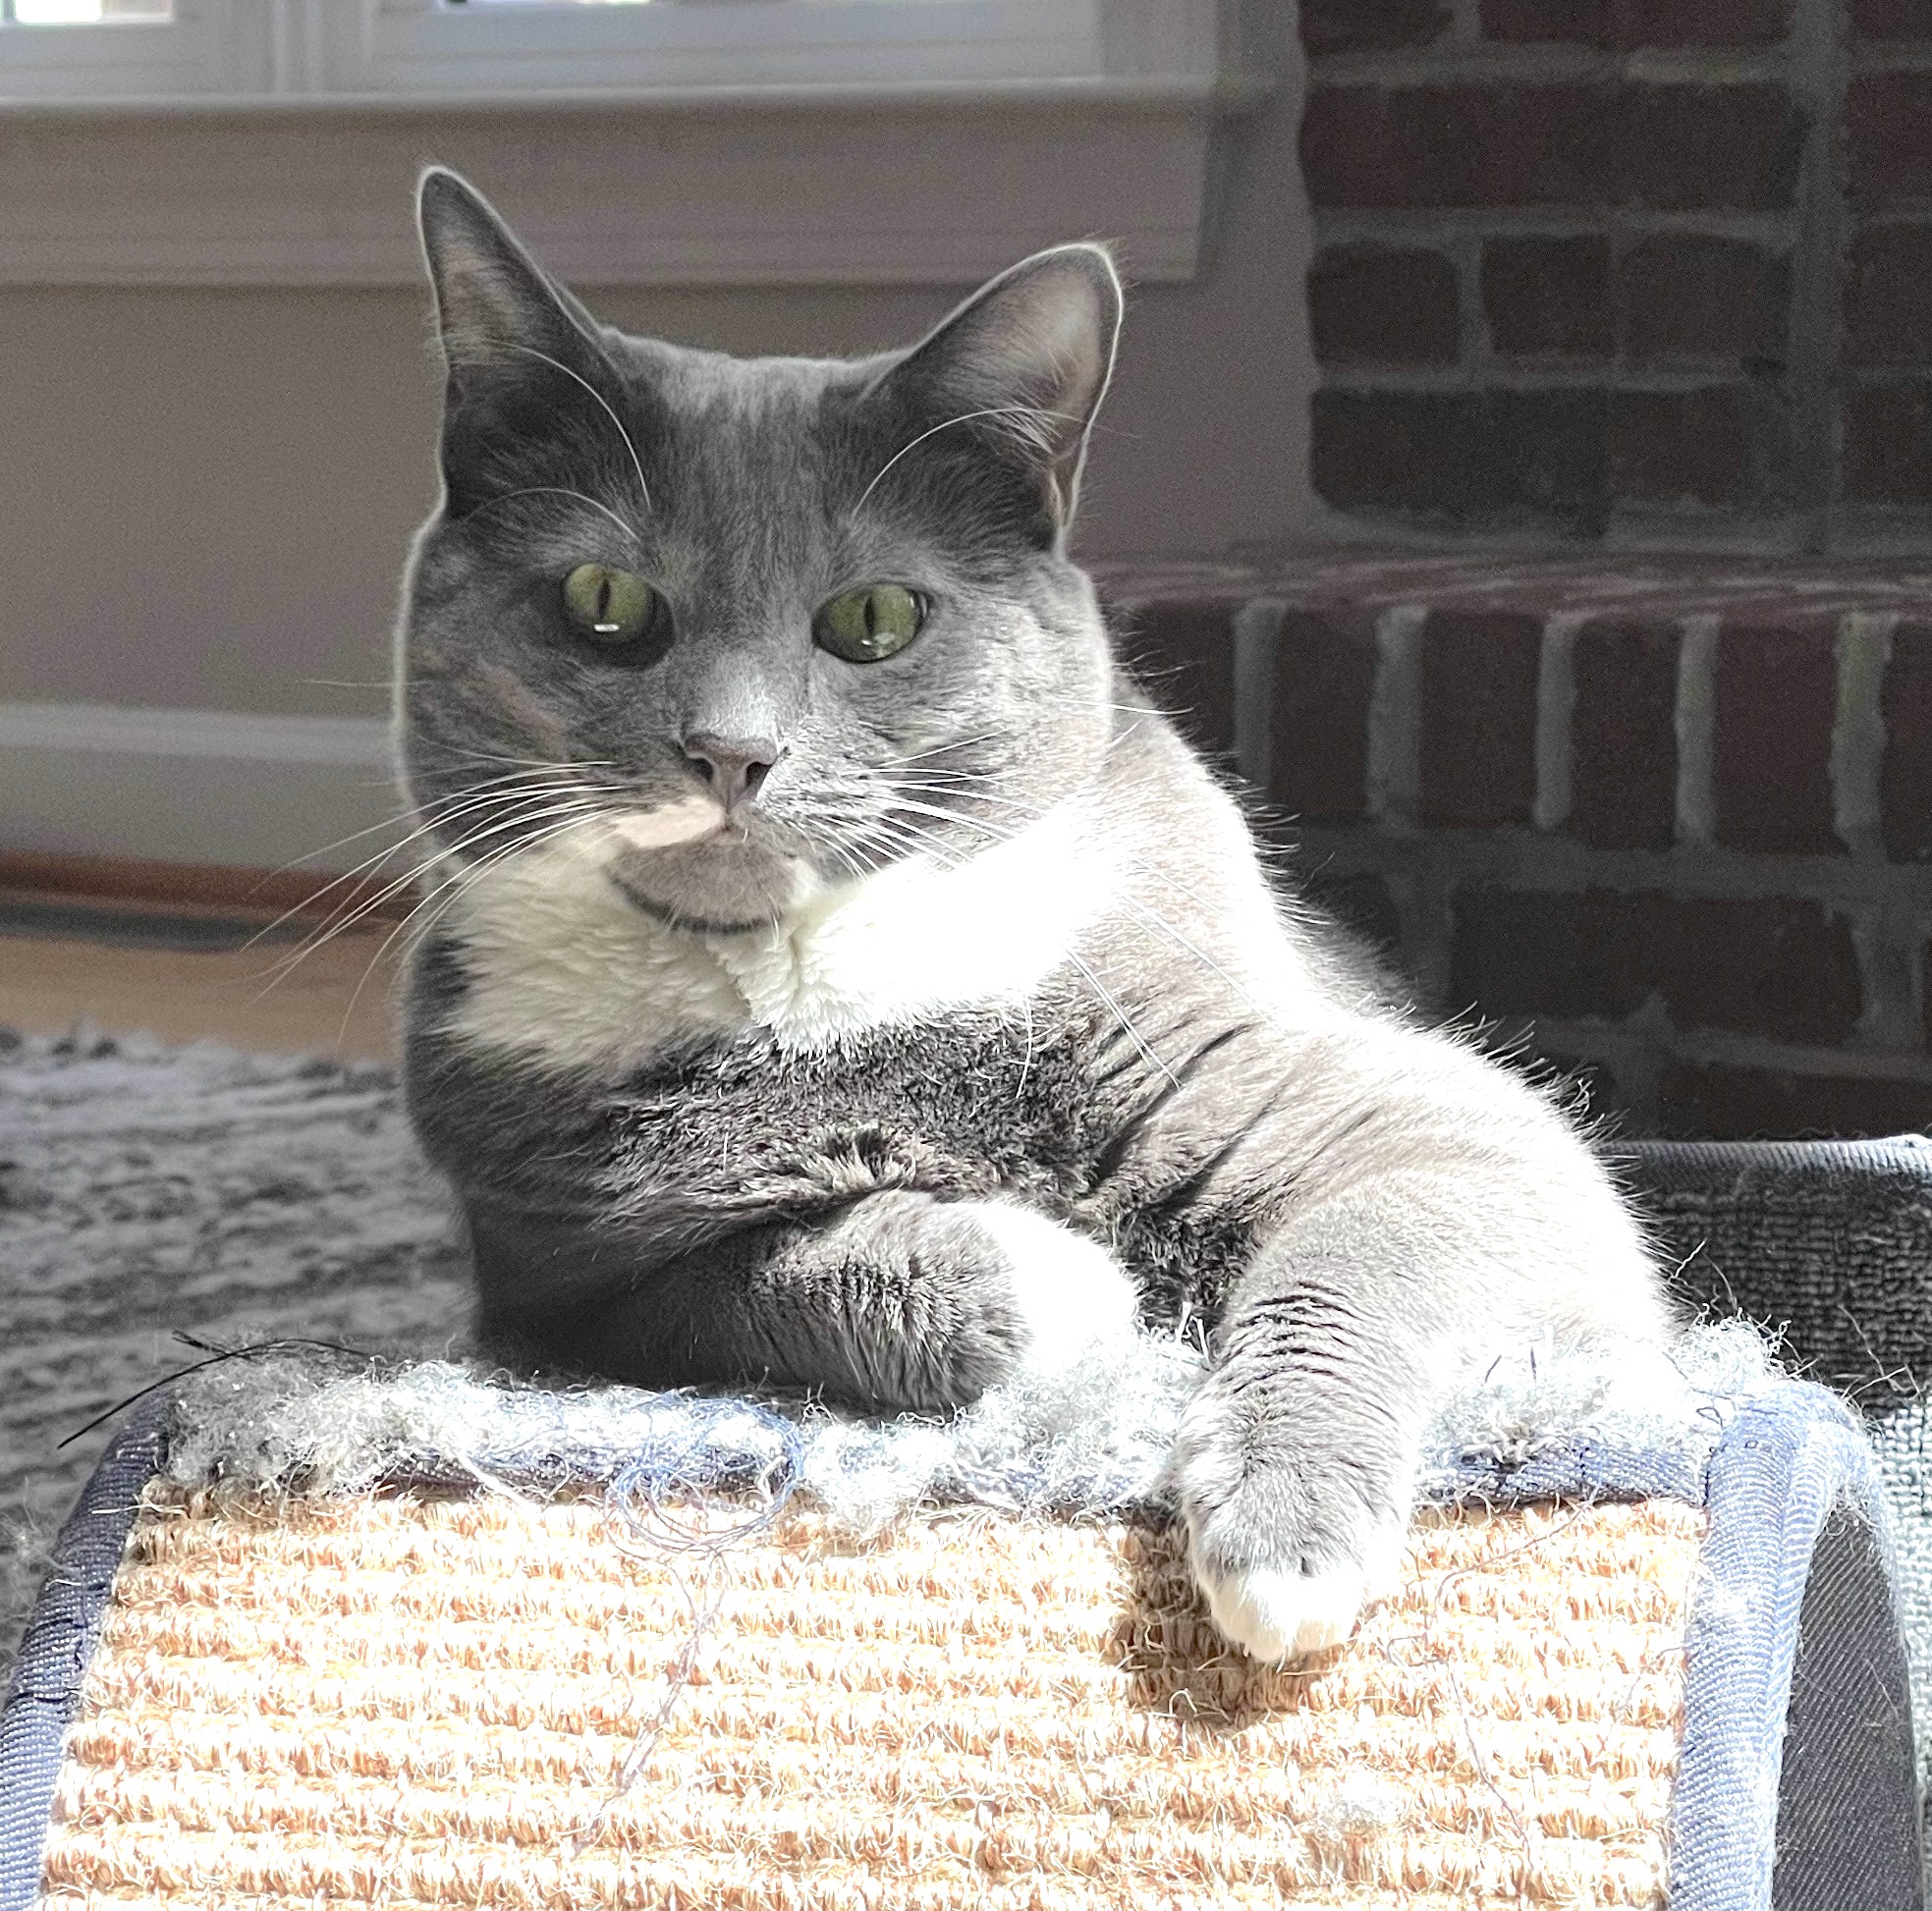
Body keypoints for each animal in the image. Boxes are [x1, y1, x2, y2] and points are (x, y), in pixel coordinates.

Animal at [396, 172, 1677, 1662]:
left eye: (875, 617)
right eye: (603, 604)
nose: (730, 752)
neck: (804, 1007)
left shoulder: (1414, 1117)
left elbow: (1361, 1250)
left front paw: (1278, 1542)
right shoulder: (553, 1291)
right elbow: (755, 1282)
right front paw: (1067, 1284)